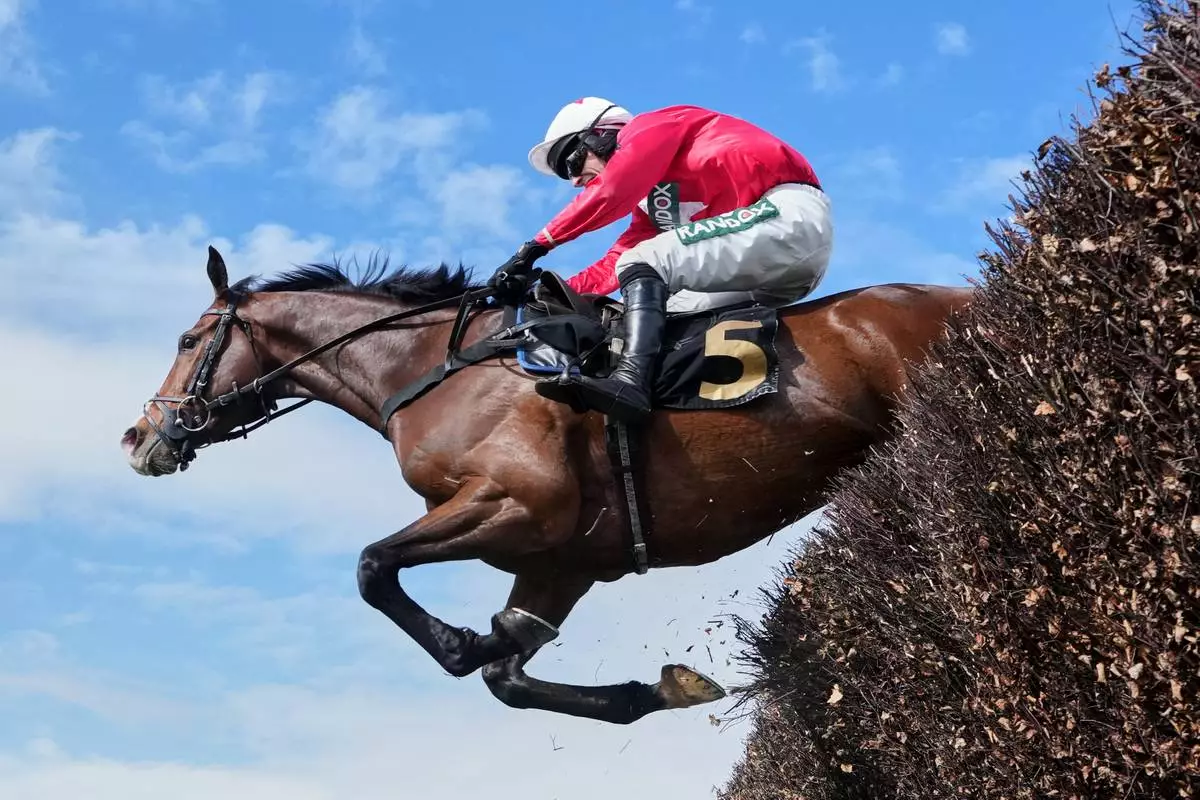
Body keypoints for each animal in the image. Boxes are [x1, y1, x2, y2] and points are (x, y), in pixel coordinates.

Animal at [120, 246, 974, 725]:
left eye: (188, 338)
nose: (138, 438)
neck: (432, 370)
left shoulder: (518, 503)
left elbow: (373, 568)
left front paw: (460, 640)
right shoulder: (562, 559)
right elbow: (508, 675)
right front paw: (666, 688)